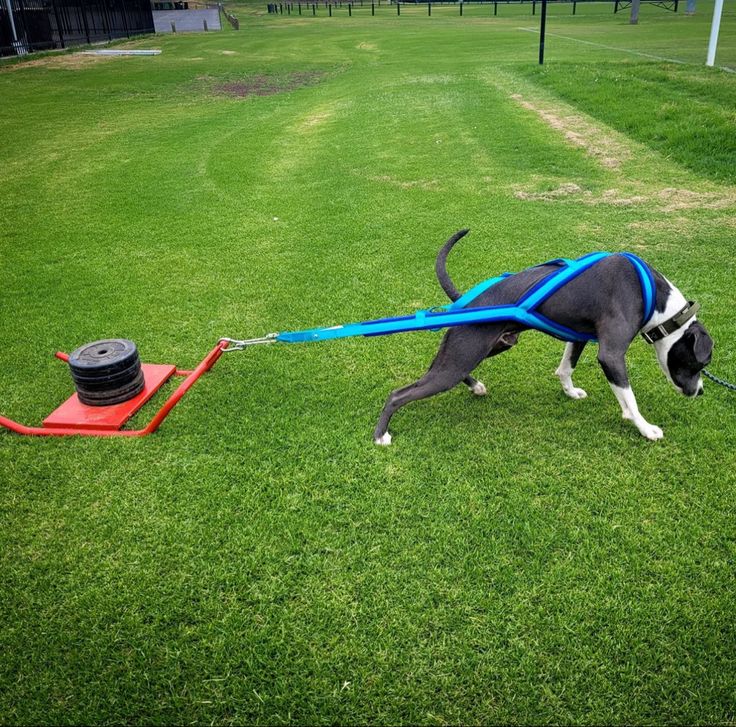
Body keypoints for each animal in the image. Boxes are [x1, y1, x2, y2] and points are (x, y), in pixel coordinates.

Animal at [374, 229, 712, 444]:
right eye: (700, 363)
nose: (700, 392)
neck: (655, 297)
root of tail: (466, 303)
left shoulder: (579, 336)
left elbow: (566, 368)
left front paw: (570, 391)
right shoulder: (611, 354)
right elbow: (629, 398)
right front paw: (645, 428)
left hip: (484, 347)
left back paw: (476, 385)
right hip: (461, 355)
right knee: (399, 394)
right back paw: (381, 435)